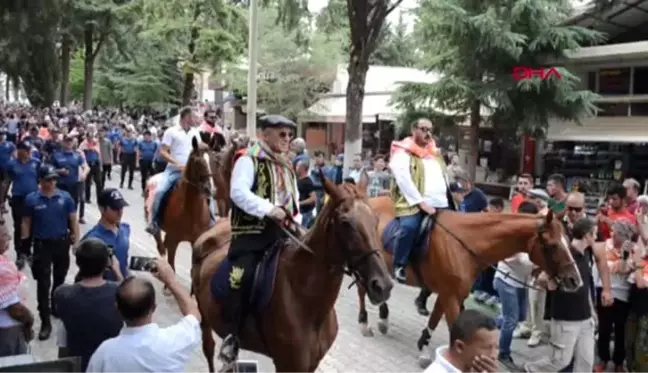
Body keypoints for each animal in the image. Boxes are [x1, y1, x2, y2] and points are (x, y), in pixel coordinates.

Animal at [192, 177, 392, 372]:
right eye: (345, 222)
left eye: (376, 220)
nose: (383, 285)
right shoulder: (287, 364)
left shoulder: (311, 364)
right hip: (204, 316)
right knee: (208, 347)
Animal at [354, 198, 584, 366]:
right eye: (553, 245)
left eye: (568, 241)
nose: (575, 280)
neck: (466, 243)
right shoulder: (451, 296)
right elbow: (454, 327)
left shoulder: (450, 292)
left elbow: (435, 319)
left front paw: (424, 347)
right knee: (361, 290)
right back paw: (365, 322)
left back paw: (383, 318)